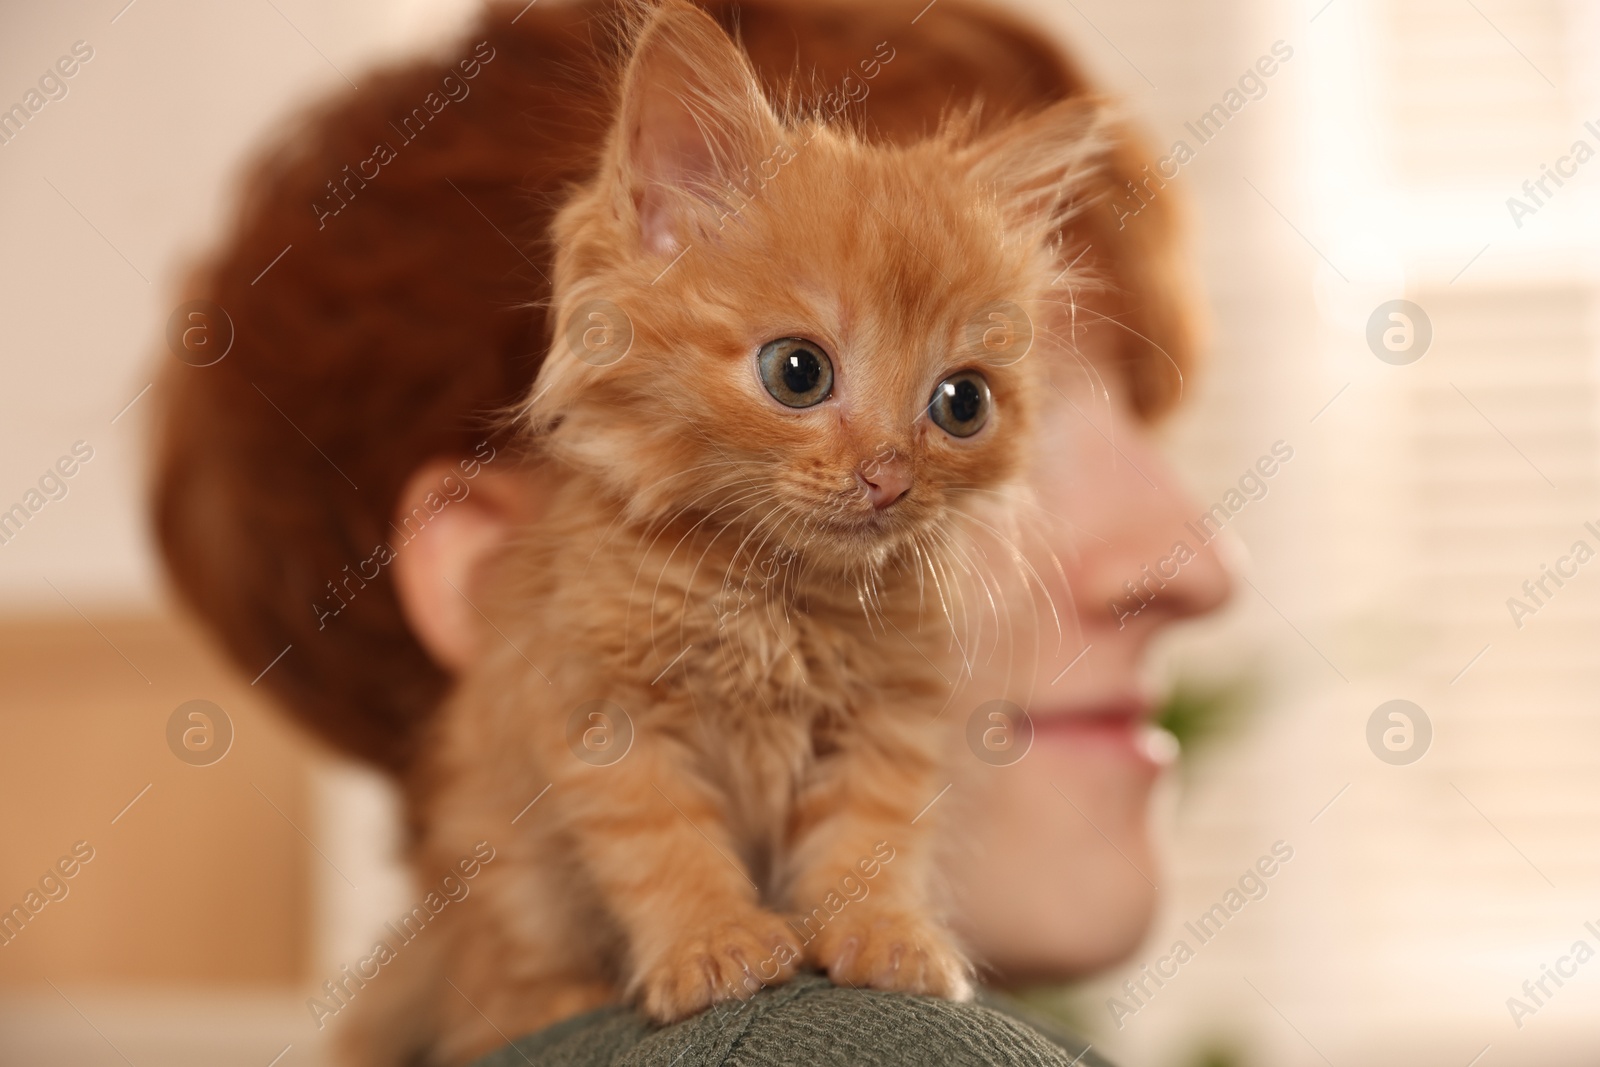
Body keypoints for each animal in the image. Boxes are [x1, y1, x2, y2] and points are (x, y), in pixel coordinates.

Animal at [393, 4, 1107, 1062]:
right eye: (797, 372)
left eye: (963, 402)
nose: (890, 475)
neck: (776, 596)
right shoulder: (604, 709)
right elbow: (661, 843)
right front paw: (714, 944)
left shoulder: (888, 719)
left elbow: (873, 837)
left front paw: (886, 936)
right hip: (507, 876)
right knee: (494, 979)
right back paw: (548, 1000)